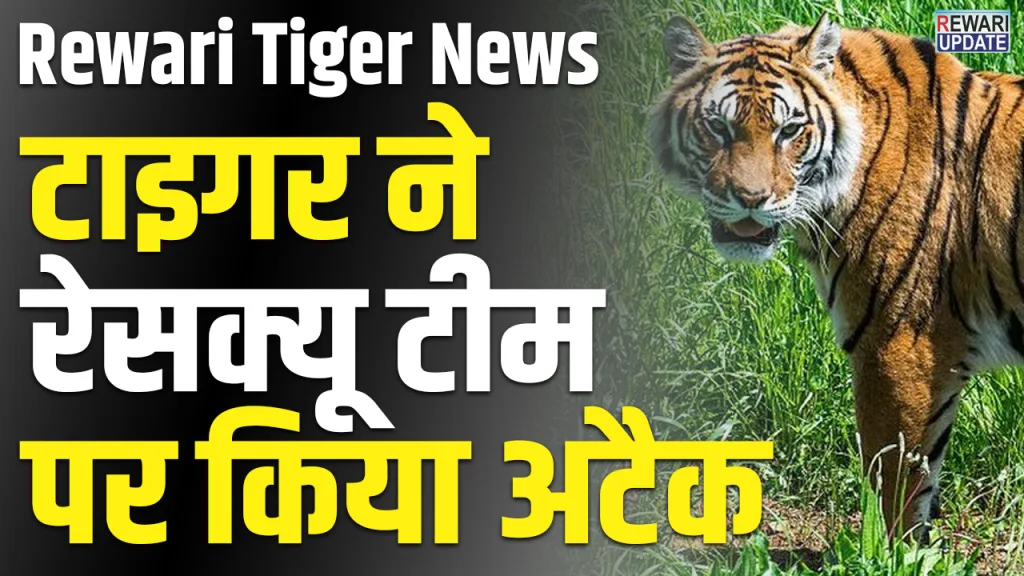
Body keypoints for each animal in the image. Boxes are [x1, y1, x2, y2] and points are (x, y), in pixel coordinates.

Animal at [650, 13, 1024, 538]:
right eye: (718, 127)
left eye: (789, 129)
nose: (750, 199)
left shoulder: (897, 346)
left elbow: (895, 484)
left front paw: (888, 551)